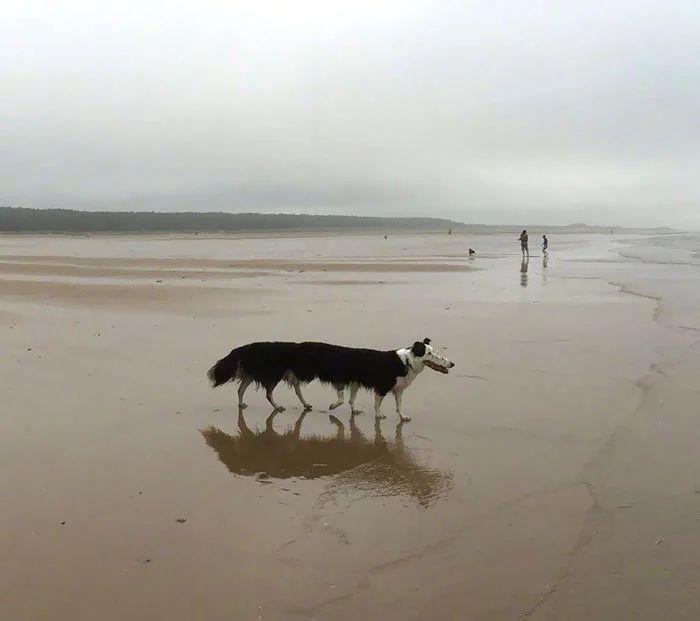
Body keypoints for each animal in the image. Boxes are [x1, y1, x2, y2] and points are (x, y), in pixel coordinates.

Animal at [206, 340, 454, 422]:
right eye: (430, 353)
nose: (451, 364)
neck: (406, 361)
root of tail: (246, 348)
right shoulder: (375, 386)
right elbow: (355, 401)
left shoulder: (394, 389)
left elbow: (397, 404)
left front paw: (402, 417)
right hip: (275, 374)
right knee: (266, 392)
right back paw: (278, 406)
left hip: (280, 374)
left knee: (243, 387)